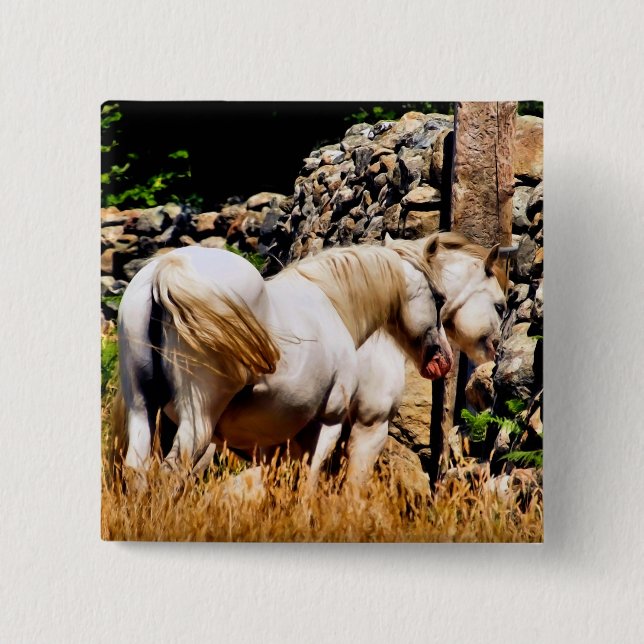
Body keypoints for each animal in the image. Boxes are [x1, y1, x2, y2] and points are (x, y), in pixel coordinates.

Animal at [115, 236, 453, 487]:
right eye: (439, 298)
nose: (444, 359)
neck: (333, 305)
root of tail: (166, 268)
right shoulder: (337, 424)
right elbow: (314, 484)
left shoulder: (272, 441)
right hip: (198, 419)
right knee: (172, 472)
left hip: (143, 408)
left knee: (138, 469)